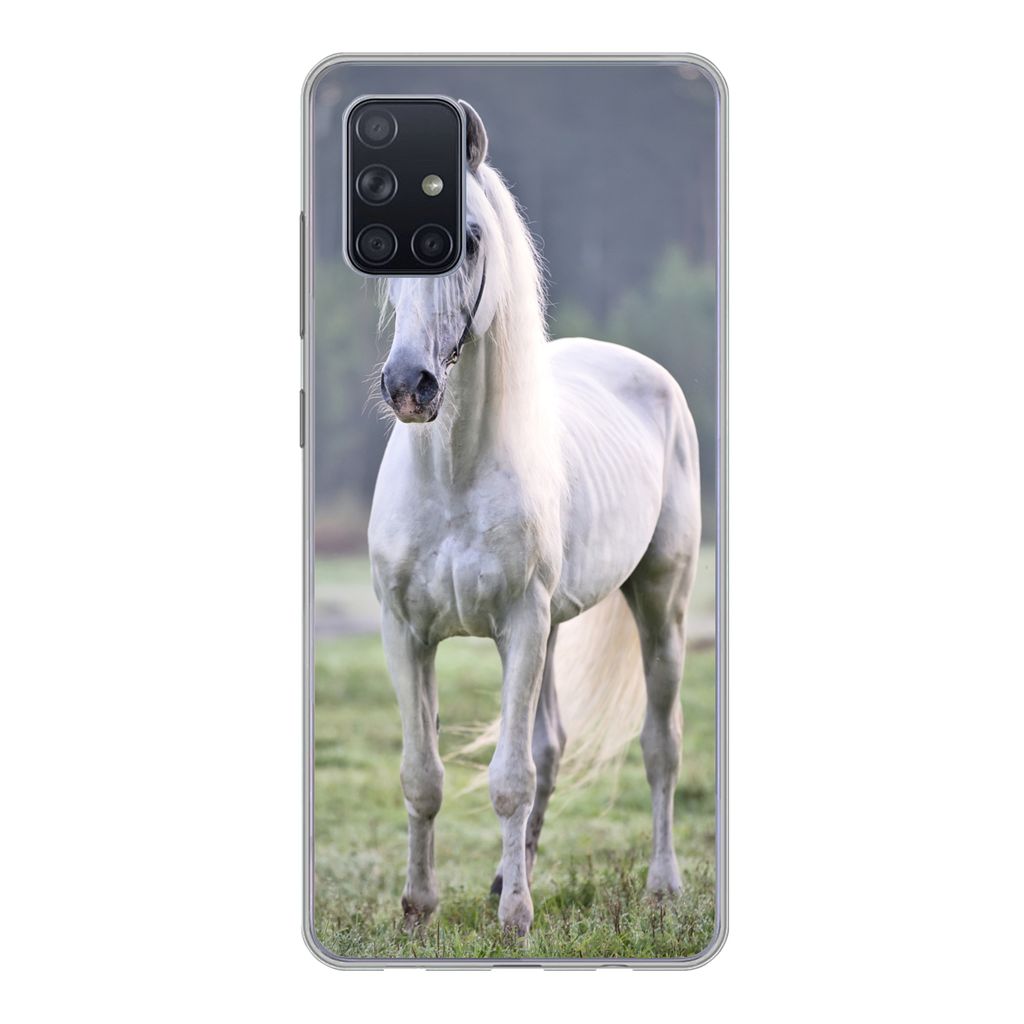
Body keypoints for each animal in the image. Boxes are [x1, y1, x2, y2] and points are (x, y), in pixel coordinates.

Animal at [368, 101, 702, 937]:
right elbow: (422, 776)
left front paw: (516, 918)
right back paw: (502, 876)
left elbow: (509, 778)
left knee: (660, 746)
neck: (453, 476)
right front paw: (418, 908)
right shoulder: (406, 632)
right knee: (551, 745)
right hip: (552, 628)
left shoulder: (519, 624)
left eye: (467, 240)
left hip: (659, 603)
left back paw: (661, 886)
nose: (410, 385)